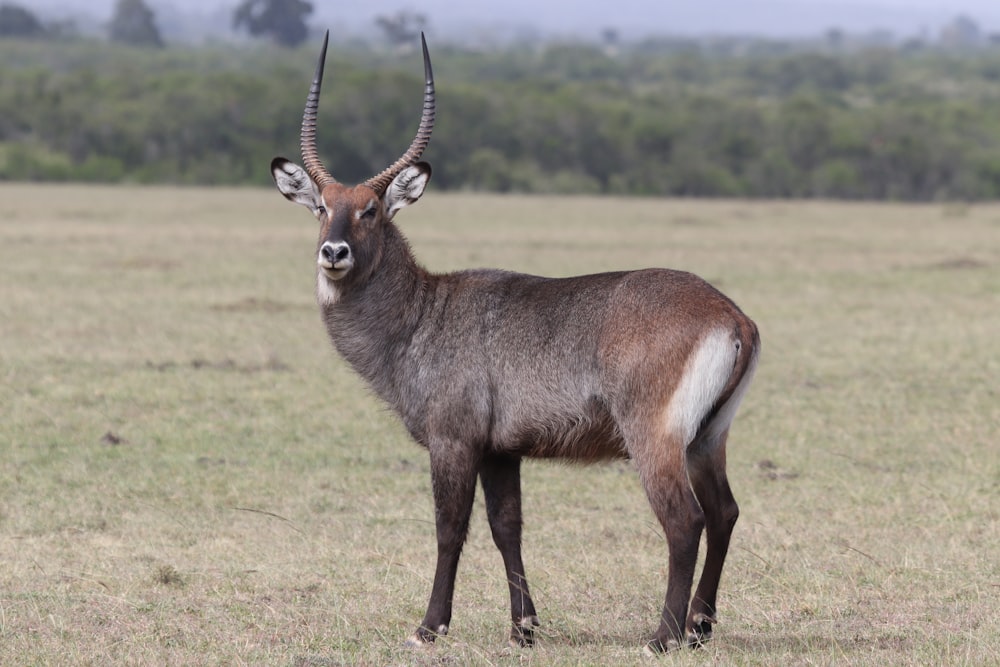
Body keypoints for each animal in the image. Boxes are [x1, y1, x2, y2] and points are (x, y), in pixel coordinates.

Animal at [270, 32, 760, 656]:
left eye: (371, 210)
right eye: (320, 207)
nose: (333, 253)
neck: (421, 313)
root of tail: (731, 315)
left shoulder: (453, 440)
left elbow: (449, 528)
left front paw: (429, 627)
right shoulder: (501, 450)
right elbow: (508, 528)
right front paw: (523, 628)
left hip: (655, 439)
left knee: (685, 521)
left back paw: (663, 635)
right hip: (707, 438)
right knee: (724, 513)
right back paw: (698, 629)